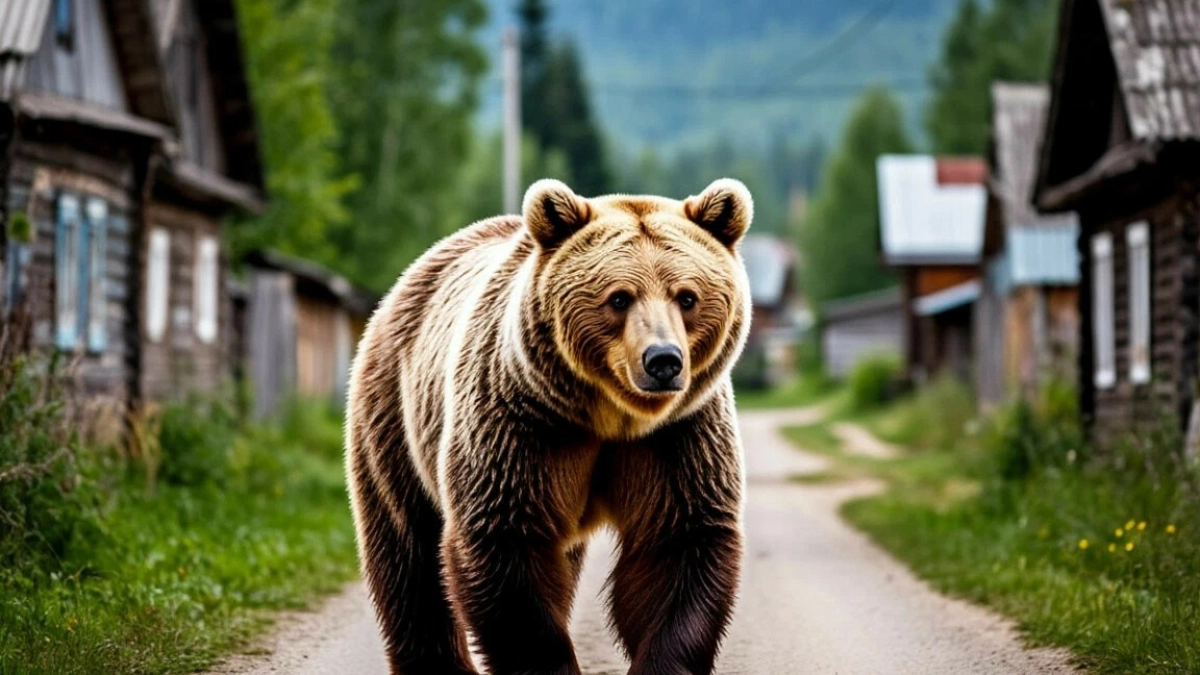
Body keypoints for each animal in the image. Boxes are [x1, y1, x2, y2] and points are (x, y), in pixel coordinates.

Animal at [345, 177, 753, 675]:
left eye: (687, 296)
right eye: (619, 297)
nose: (663, 361)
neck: (612, 417)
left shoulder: (678, 435)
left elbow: (678, 545)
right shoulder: (520, 426)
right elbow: (507, 548)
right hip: (394, 413)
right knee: (408, 551)